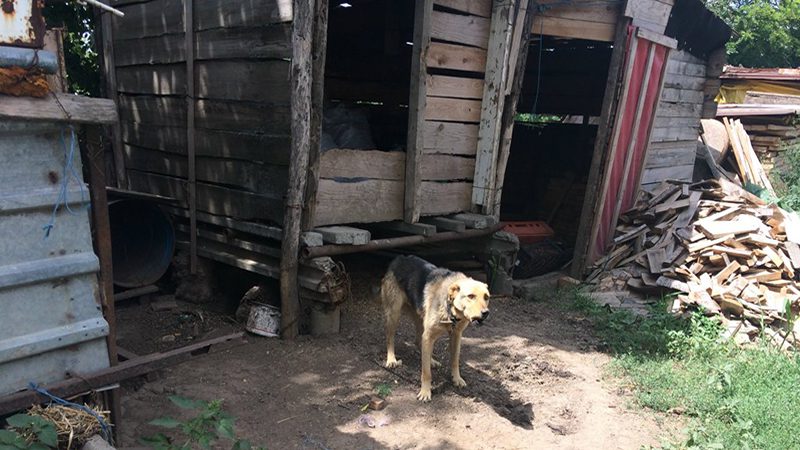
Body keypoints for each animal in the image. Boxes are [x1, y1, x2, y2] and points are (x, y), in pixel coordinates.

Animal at [380, 255, 488, 402]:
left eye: (487, 297)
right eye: (471, 296)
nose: (486, 313)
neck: (451, 310)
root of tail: (400, 258)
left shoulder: (456, 335)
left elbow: (455, 360)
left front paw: (457, 378)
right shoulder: (429, 336)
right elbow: (426, 372)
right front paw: (425, 391)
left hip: (420, 319)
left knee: (418, 342)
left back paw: (431, 361)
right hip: (394, 313)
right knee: (390, 337)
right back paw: (391, 359)